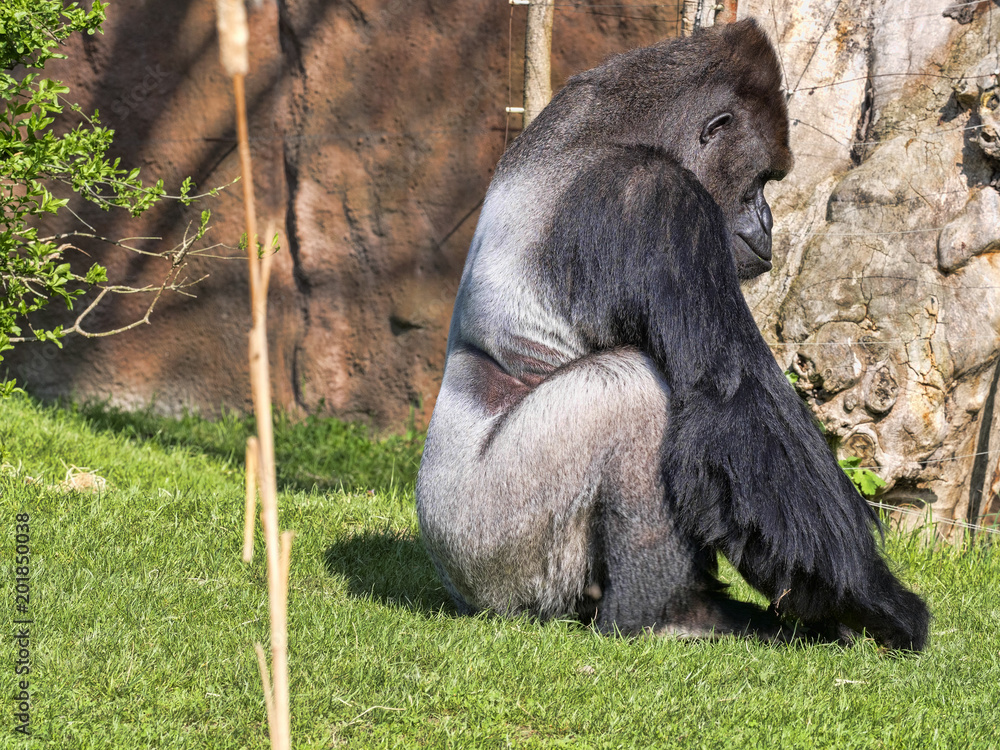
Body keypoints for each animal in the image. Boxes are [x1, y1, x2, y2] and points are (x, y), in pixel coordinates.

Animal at [416, 19, 930, 650]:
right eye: (760, 181)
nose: (768, 221)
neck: (624, 127)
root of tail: (453, 584)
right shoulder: (654, 195)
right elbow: (732, 404)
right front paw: (877, 603)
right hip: (491, 553)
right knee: (636, 393)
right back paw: (665, 616)